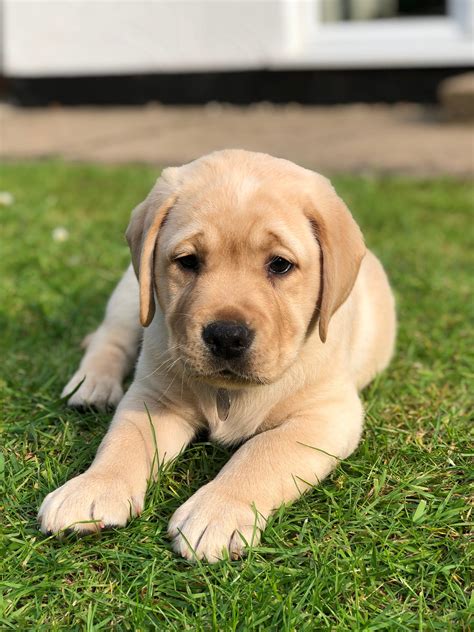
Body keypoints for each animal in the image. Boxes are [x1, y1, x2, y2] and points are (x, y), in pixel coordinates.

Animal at [38, 149, 396, 564]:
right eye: (188, 261)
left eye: (280, 264)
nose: (226, 336)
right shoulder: (154, 397)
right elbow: (124, 440)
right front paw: (93, 487)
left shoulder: (327, 415)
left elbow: (263, 452)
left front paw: (216, 511)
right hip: (131, 295)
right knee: (110, 338)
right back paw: (92, 385)